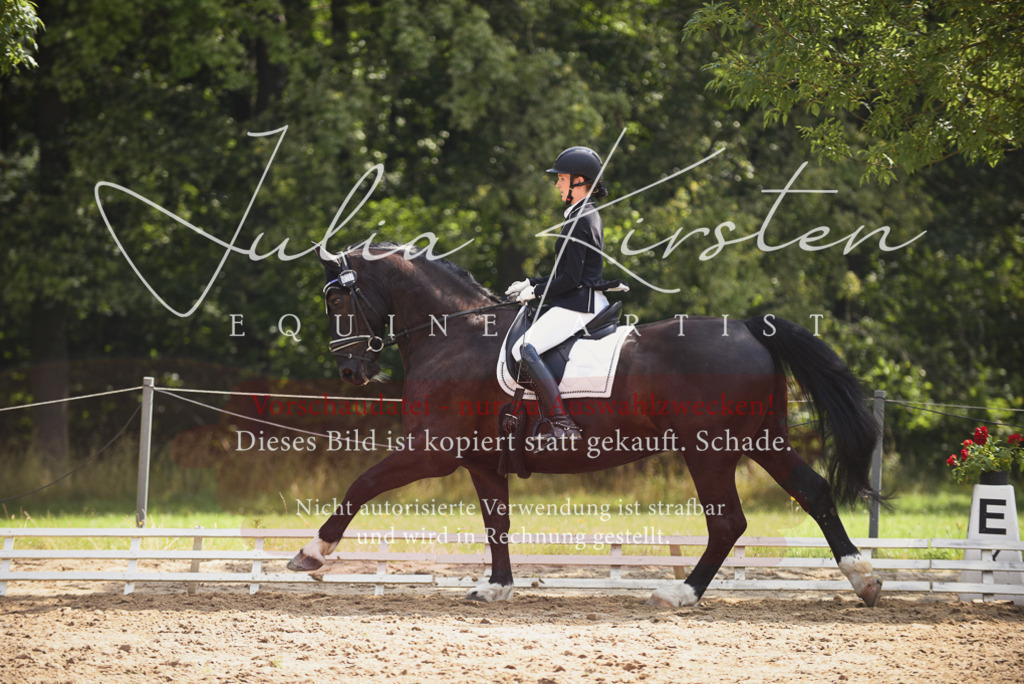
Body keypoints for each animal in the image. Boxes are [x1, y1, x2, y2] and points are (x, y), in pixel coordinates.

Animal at [287, 242, 884, 608]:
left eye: (337, 297)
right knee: (814, 490)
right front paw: (497, 588)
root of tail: (747, 327)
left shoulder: (433, 450)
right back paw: (865, 579)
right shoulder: (481, 460)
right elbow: (497, 522)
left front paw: (312, 553)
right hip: (762, 438)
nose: (350, 370)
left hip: (708, 449)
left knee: (728, 523)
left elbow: (362, 483)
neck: (455, 335)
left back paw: (679, 595)